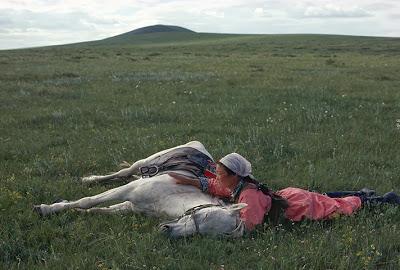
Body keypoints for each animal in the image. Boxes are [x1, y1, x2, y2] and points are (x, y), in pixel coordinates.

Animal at [34, 140, 245, 237]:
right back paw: (88, 179)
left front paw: (70, 210)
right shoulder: (128, 190)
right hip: (143, 162)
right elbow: (88, 201)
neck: (172, 195)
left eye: (204, 235)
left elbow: (99, 210)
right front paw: (46, 208)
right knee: (124, 172)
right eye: (205, 215)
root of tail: (198, 146)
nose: (166, 229)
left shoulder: (130, 206)